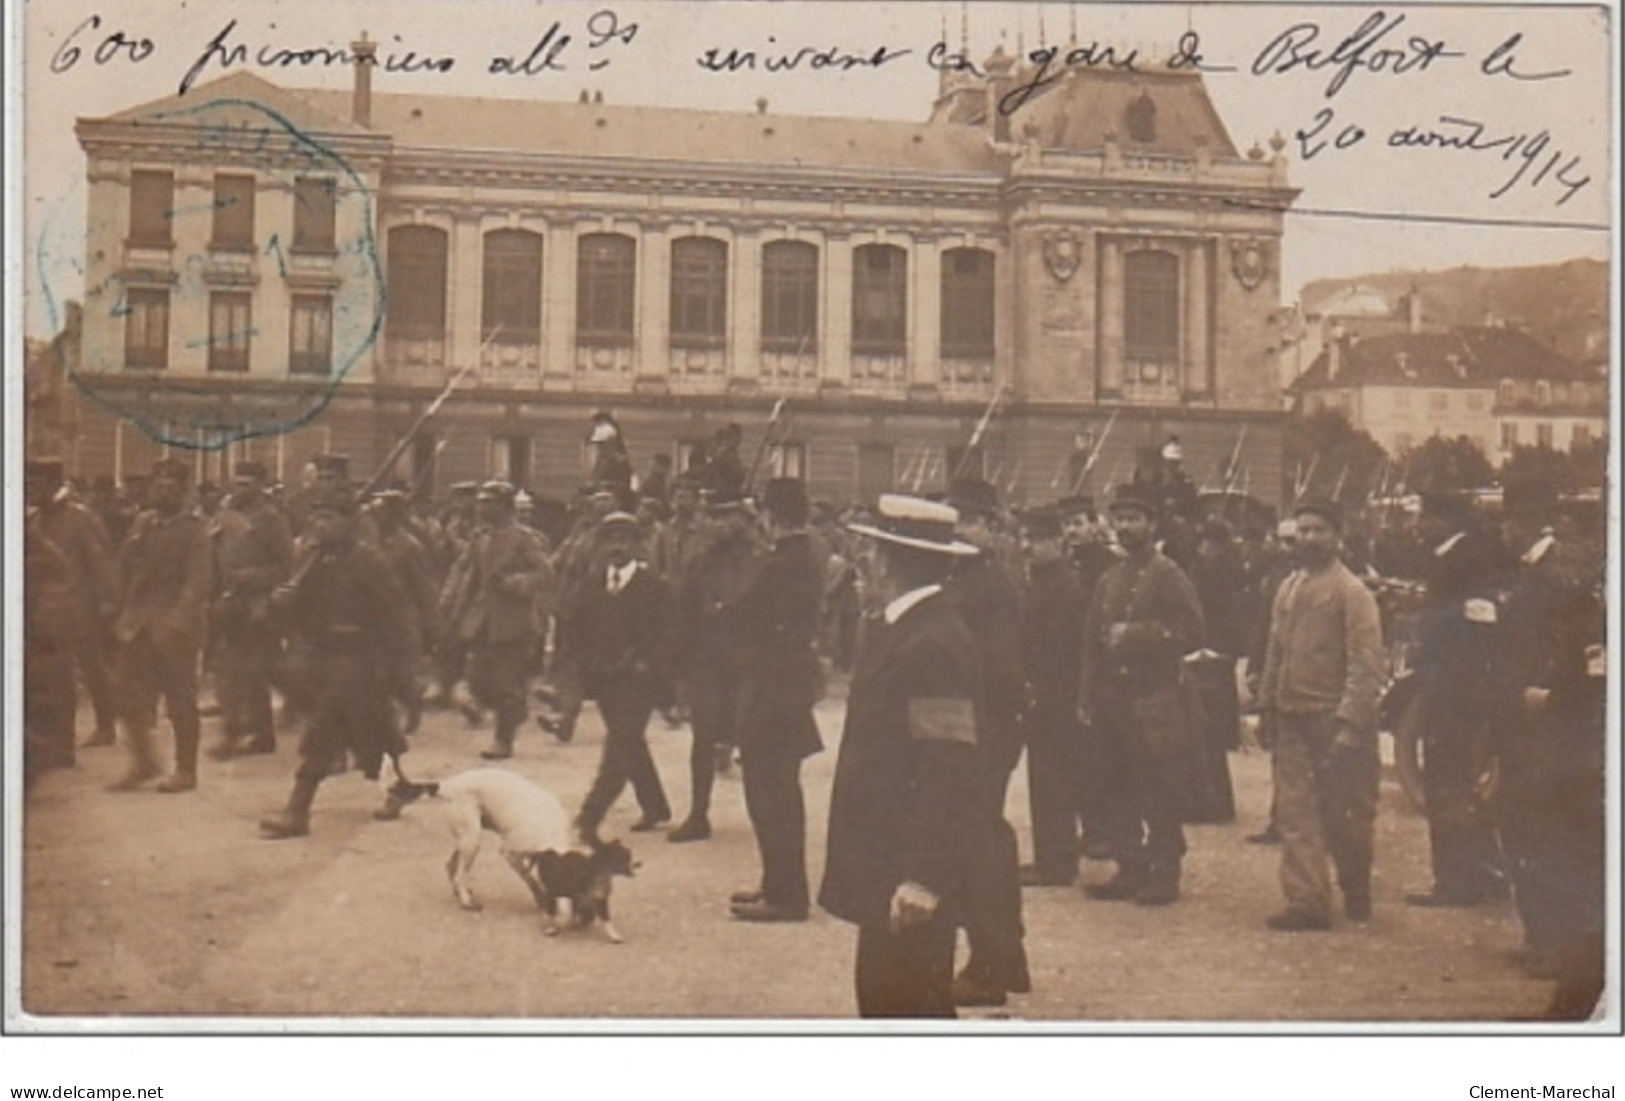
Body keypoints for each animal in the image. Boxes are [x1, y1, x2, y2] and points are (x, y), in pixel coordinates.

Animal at [390, 772, 637, 941]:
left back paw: (461, 893)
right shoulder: (510, 853)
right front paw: (542, 902)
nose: (588, 918)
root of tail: (448, 784)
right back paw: (467, 902)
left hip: (466, 839)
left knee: (451, 866)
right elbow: (532, 880)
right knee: (460, 873)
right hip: (472, 838)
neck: (550, 834)